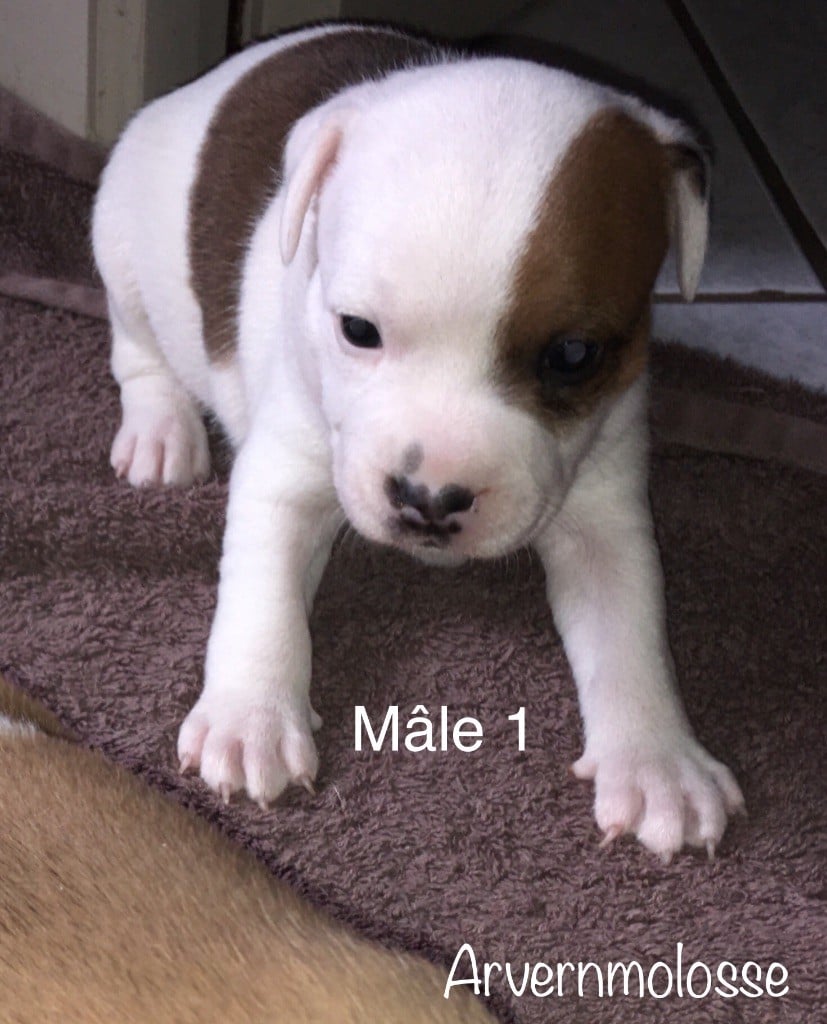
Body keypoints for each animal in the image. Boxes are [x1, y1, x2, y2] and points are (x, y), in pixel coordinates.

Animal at [92, 21, 745, 860]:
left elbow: (628, 627)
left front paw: (657, 761)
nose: (428, 499)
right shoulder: (287, 465)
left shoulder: (605, 502)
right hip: (119, 240)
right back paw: (160, 432)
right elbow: (262, 589)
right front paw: (250, 715)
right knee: (136, 346)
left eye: (572, 355)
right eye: (356, 330)